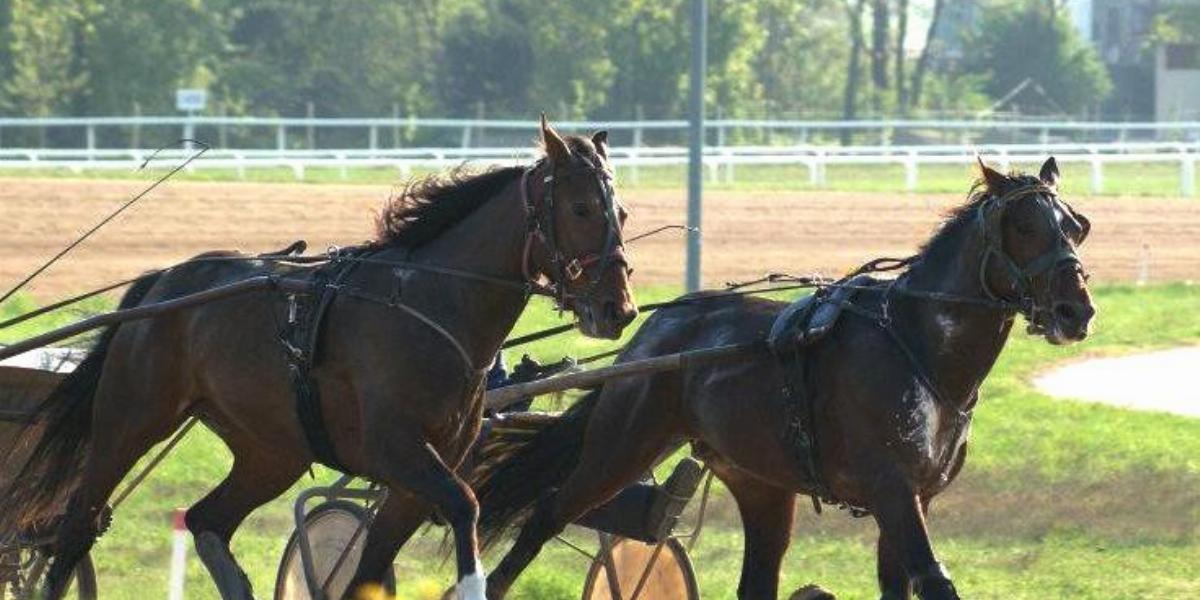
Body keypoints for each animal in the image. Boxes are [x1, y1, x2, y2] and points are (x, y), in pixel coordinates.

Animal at [2, 118, 638, 600]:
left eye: (623, 213)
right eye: (582, 208)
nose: (619, 307)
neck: (431, 304)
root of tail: (165, 281)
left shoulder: (415, 478)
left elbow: (369, 573)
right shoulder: (397, 450)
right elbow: (465, 506)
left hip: (272, 450)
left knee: (209, 520)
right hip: (129, 421)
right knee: (76, 527)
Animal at [468, 159, 1099, 600]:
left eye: (1075, 226)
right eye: (1022, 225)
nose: (1076, 311)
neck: (917, 346)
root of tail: (654, 336)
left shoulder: (916, 496)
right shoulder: (891, 488)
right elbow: (935, 579)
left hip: (760, 482)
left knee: (757, 580)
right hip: (622, 442)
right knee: (547, 513)